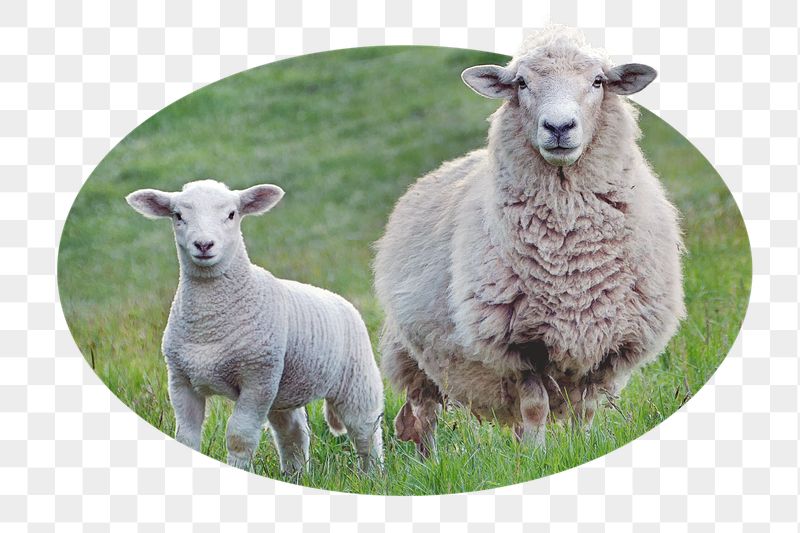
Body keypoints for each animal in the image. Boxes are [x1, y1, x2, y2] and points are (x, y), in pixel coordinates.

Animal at [126, 179, 384, 474]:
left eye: (231, 214)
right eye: (178, 216)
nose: (204, 244)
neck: (208, 324)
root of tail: (341, 300)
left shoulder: (257, 378)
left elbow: (239, 436)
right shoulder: (181, 380)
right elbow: (186, 437)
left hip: (356, 379)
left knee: (365, 429)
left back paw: (373, 476)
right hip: (284, 389)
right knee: (293, 432)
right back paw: (296, 474)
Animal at [374, 26, 685, 457]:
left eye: (598, 81)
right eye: (521, 83)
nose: (559, 127)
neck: (571, 256)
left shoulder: (607, 342)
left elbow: (585, 409)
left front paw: (581, 449)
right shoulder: (520, 345)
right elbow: (535, 407)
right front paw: (537, 459)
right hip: (411, 353)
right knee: (424, 412)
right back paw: (430, 462)